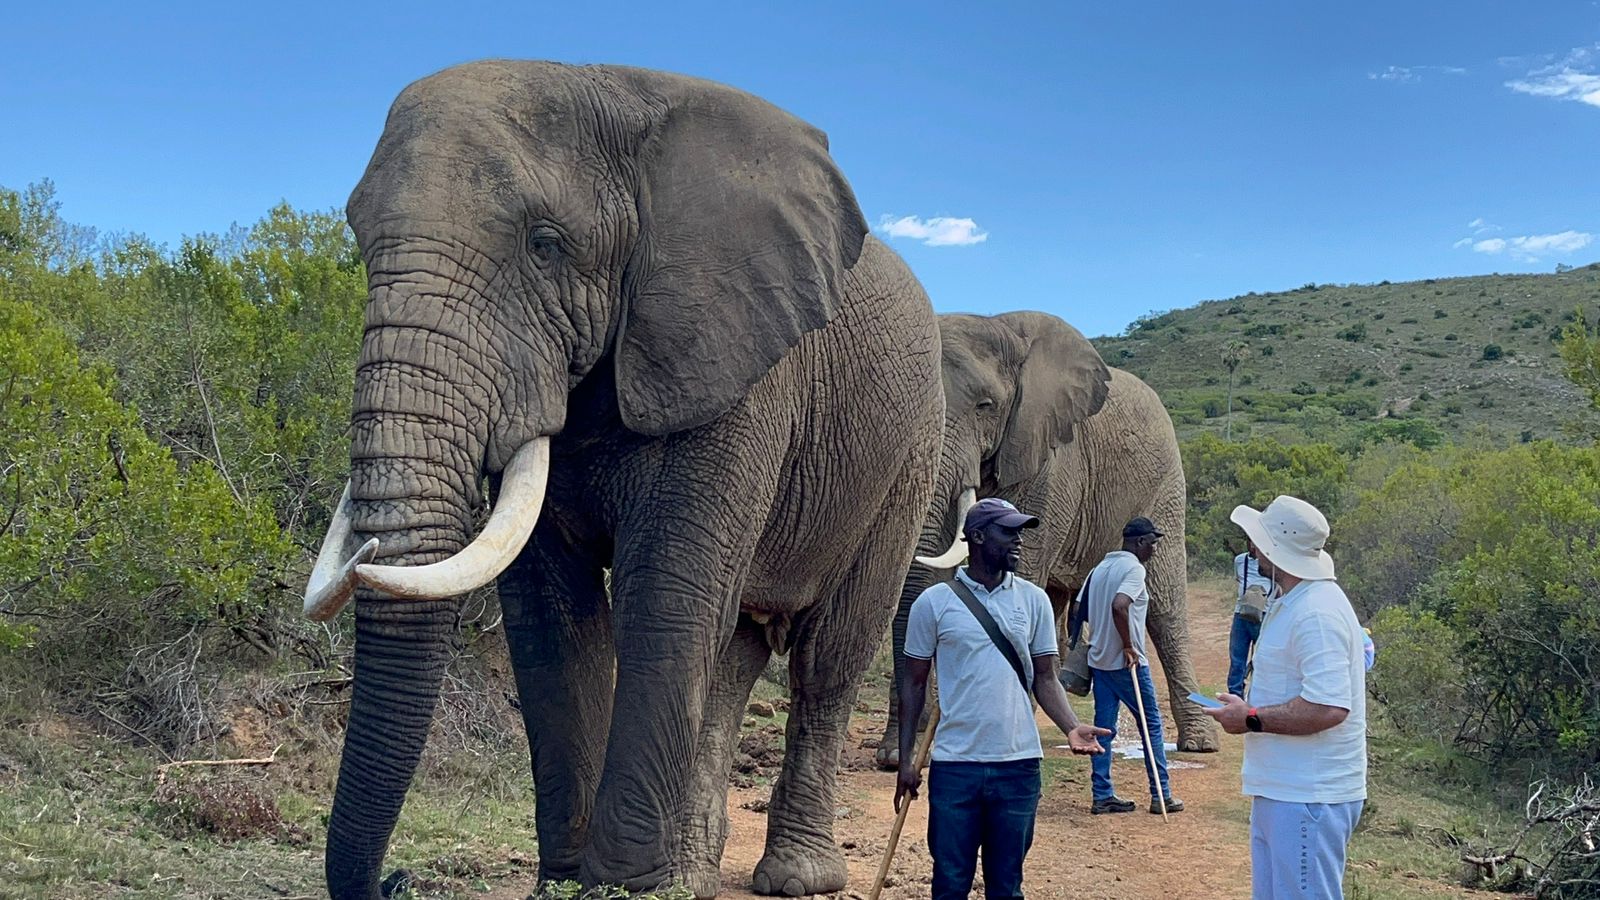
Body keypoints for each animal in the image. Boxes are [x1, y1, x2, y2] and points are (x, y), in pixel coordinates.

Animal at [301, 60, 945, 900]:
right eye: (360, 241)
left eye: (545, 245)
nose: (396, 879)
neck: (610, 90)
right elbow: (552, 617)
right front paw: (568, 883)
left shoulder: (729, 356)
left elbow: (662, 595)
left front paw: (625, 887)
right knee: (734, 654)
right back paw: (694, 872)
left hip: (910, 454)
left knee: (828, 656)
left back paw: (796, 877)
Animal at [873, 311, 1219, 769]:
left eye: (986, 406)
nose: (900, 760)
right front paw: (899, 755)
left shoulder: (1049, 459)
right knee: (1055, 597)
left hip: (1164, 485)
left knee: (1164, 604)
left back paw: (1200, 742)